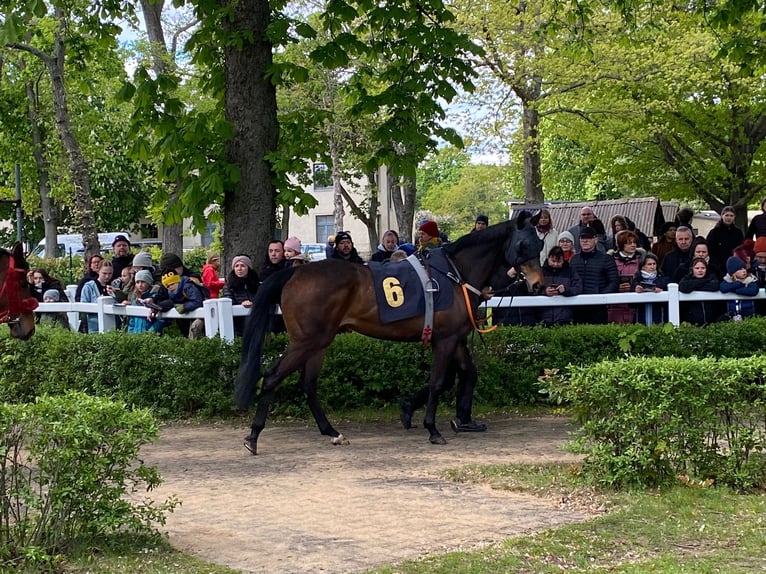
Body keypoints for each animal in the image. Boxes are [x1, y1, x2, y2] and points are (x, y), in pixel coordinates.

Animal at [237, 216, 544, 454]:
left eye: (539, 244)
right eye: (523, 245)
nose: (538, 284)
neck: (454, 274)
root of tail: (294, 275)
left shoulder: (453, 338)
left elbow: (465, 373)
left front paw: (458, 418)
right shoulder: (445, 340)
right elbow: (438, 382)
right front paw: (432, 429)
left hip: (320, 342)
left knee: (308, 385)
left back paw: (331, 431)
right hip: (306, 341)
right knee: (272, 377)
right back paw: (253, 436)